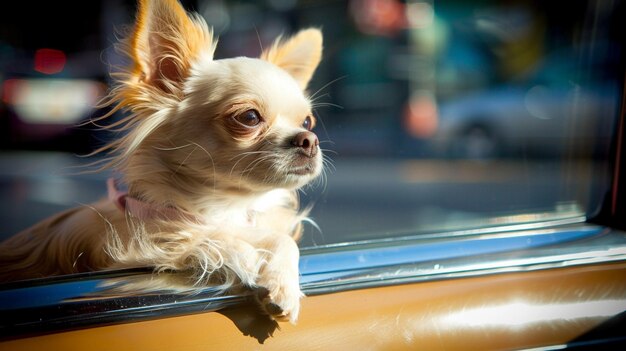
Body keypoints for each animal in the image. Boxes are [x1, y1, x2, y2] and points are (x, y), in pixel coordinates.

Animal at [0, 0, 322, 324]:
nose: (309, 140)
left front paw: (280, 283)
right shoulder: (141, 248)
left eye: (308, 122)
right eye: (250, 117)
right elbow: (212, 238)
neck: (225, 206)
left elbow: (281, 239)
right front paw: (252, 260)